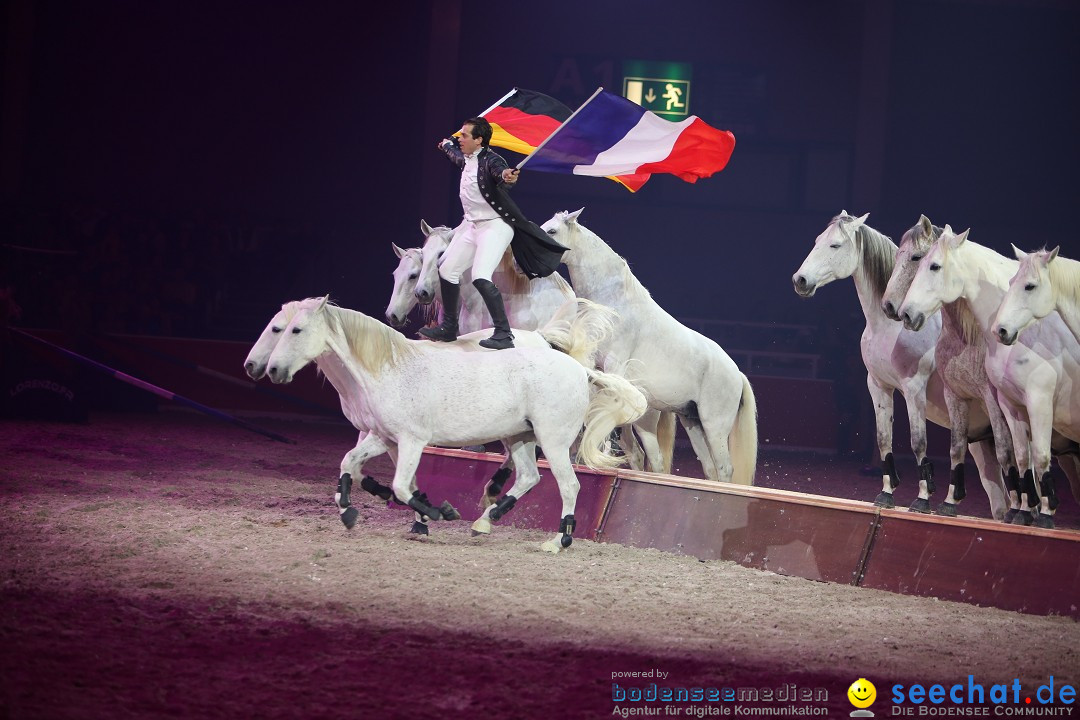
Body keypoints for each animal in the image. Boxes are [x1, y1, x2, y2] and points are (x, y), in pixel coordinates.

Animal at [265, 293, 643, 552]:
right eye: (278, 329)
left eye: (296, 330)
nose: (271, 370)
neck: (390, 369)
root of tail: (579, 368)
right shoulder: (383, 437)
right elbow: (351, 465)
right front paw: (348, 512)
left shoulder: (412, 440)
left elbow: (402, 487)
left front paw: (439, 513)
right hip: (520, 437)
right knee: (528, 477)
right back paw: (484, 521)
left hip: (552, 442)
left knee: (569, 485)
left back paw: (558, 541)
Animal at [540, 209, 760, 490]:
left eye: (552, 231)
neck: (614, 304)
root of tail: (737, 374)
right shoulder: (592, 361)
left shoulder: (614, 365)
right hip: (693, 423)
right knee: (710, 468)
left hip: (715, 427)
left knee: (724, 469)